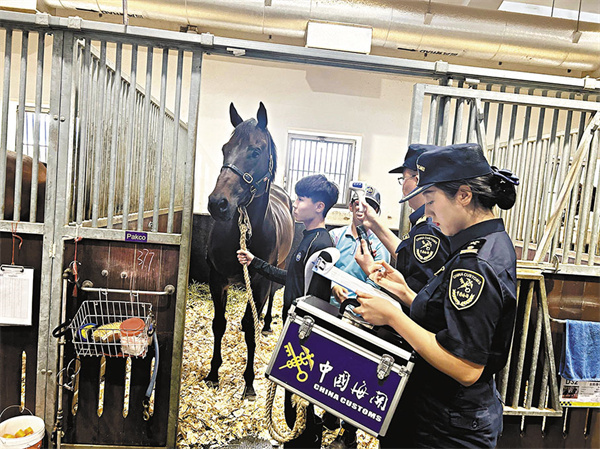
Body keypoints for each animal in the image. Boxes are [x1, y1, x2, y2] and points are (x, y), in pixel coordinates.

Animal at [206, 103, 296, 398]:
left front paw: (248, 381)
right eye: (225, 148)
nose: (217, 203)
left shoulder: (258, 281)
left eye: (255, 151)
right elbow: (219, 323)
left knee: (270, 300)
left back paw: (267, 324)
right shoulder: (217, 279)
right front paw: (213, 373)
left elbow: (249, 328)